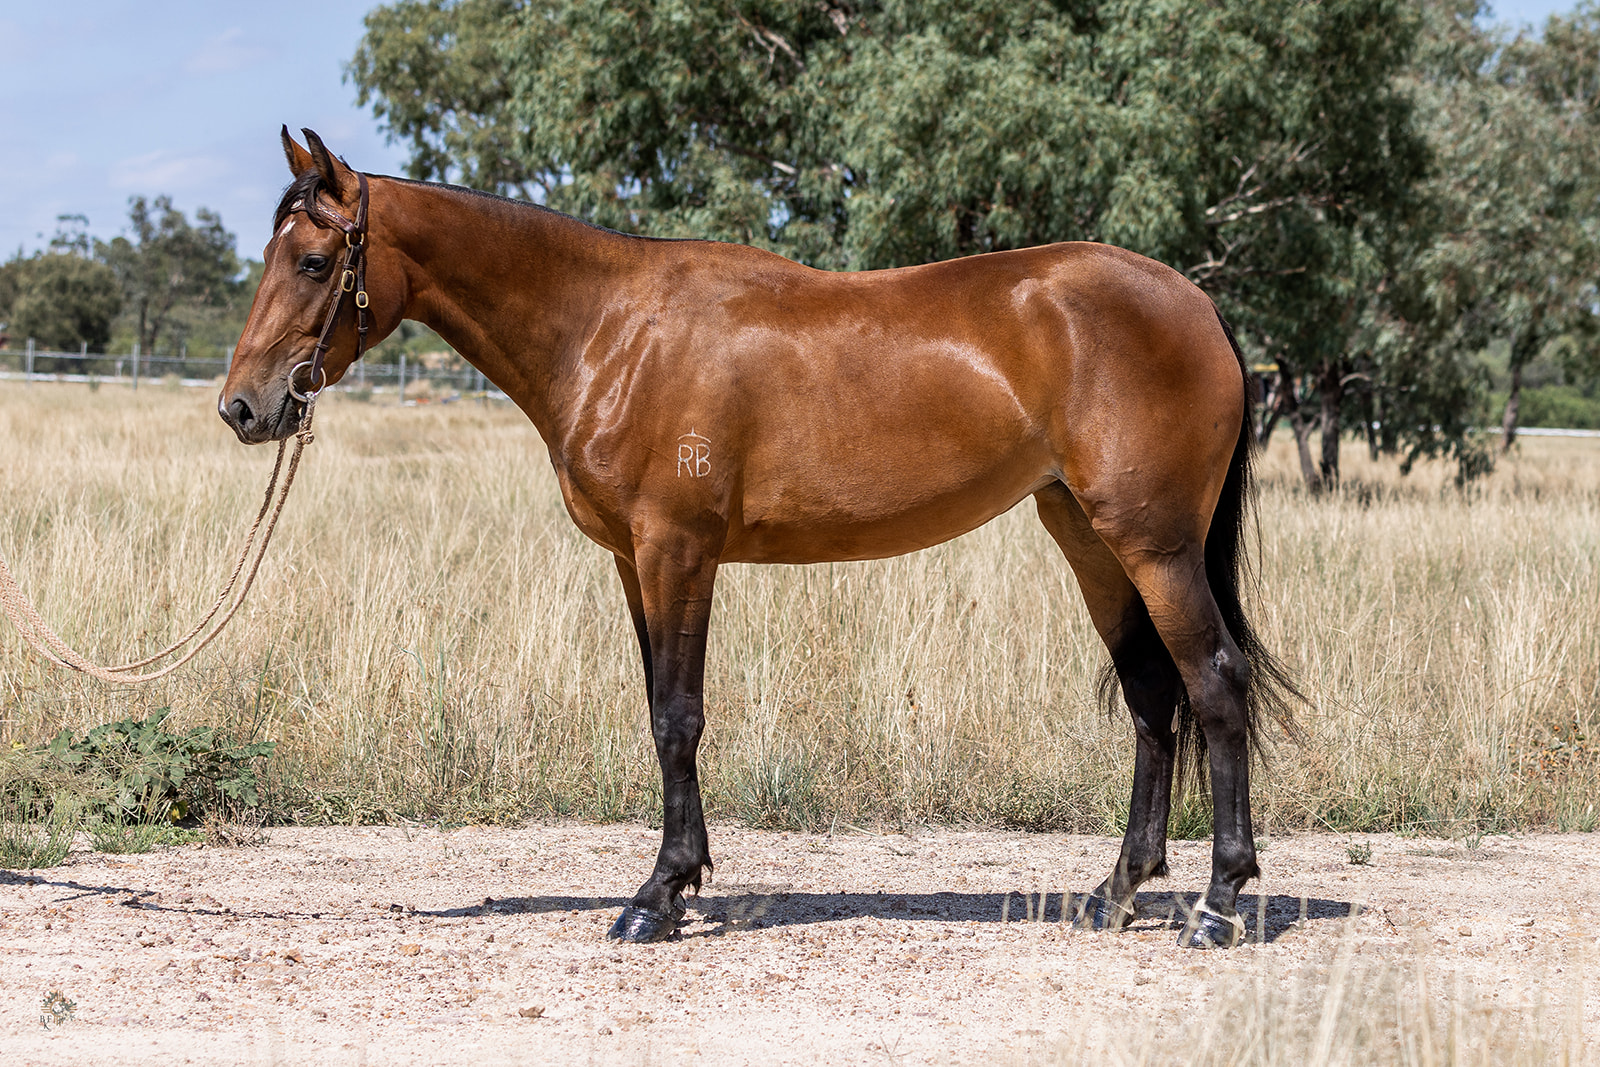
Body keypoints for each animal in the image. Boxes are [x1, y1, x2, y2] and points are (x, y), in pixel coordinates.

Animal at [221, 128, 1299, 949]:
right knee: (1152, 696)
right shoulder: (635, 563)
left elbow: (677, 716)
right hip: (1090, 539)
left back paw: (1217, 903)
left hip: (1154, 545)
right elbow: (658, 707)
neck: (609, 327)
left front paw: (656, 897)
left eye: (313, 261)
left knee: (1213, 683)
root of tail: (1196, 303)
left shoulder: (678, 551)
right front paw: (683, 876)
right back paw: (1115, 893)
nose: (243, 407)